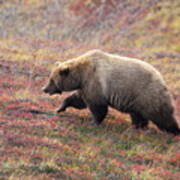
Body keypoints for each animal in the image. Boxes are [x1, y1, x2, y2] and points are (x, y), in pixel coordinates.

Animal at [43, 50, 179, 134]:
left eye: (52, 80)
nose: (44, 89)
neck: (80, 75)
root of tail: (162, 80)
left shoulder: (95, 82)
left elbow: (97, 106)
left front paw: (94, 122)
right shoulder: (85, 86)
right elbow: (78, 100)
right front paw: (60, 108)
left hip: (147, 94)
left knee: (162, 116)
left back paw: (174, 131)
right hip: (136, 101)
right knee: (138, 115)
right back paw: (137, 127)